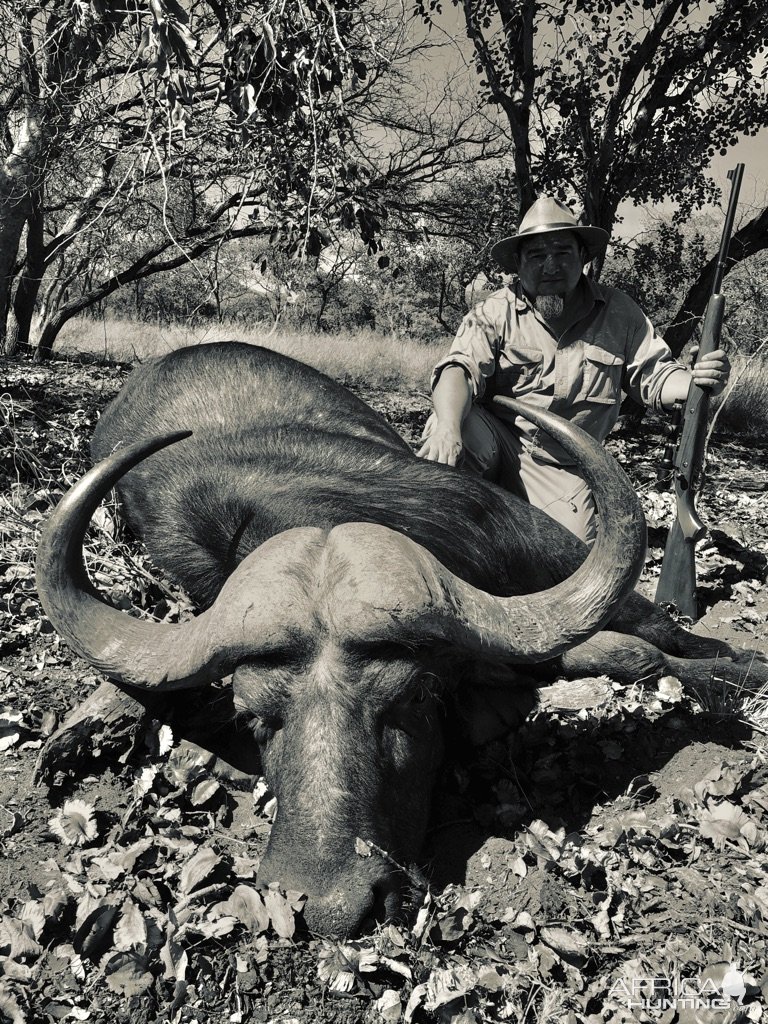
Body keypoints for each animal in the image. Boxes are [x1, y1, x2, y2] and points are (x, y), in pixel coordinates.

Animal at [36, 342, 765, 937]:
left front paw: (738, 667)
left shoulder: (540, 549)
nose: (328, 907)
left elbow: (647, 641)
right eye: (252, 716)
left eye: (414, 699)